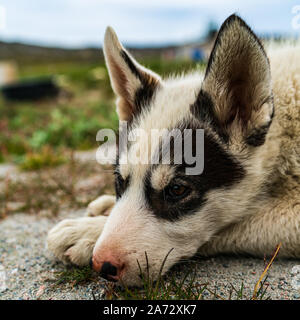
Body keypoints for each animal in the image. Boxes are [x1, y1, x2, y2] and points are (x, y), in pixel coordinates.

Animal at [47, 14, 300, 284]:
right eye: (119, 180)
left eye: (177, 190)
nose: (101, 265)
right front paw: (105, 209)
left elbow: (232, 224)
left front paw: (86, 231)